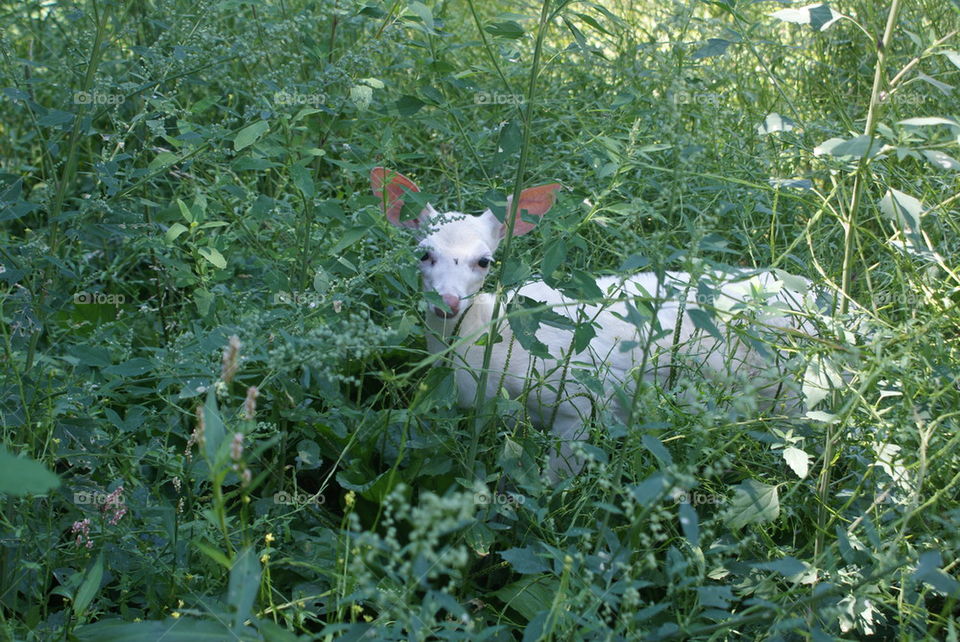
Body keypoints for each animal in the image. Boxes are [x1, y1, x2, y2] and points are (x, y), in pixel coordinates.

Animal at [372, 168, 820, 478]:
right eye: (423, 252)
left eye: (484, 261)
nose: (446, 302)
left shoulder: (580, 397)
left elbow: (548, 480)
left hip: (791, 392)